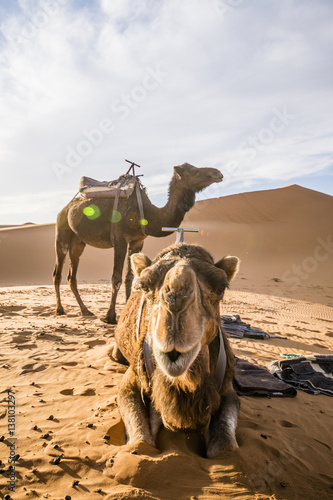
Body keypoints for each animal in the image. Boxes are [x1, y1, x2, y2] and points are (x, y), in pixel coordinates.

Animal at [53, 162, 222, 322]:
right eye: (194, 171)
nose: (217, 173)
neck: (147, 214)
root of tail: (66, 208)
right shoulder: (120, 240)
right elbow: (116, 278)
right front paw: (110, 317)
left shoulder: (137, 241)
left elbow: (130, 277)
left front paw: (128, 311)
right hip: (62, 233)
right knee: (57, 272)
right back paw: (60, 309)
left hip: (78, 242)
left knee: (71, 276)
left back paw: (85, 310)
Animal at [114, 242, 239, 458]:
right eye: (144, 286)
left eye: (221, 287)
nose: (175, 299)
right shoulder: (132, 381)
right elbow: (140, 443)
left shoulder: (227, 389)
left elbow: (225, 447)